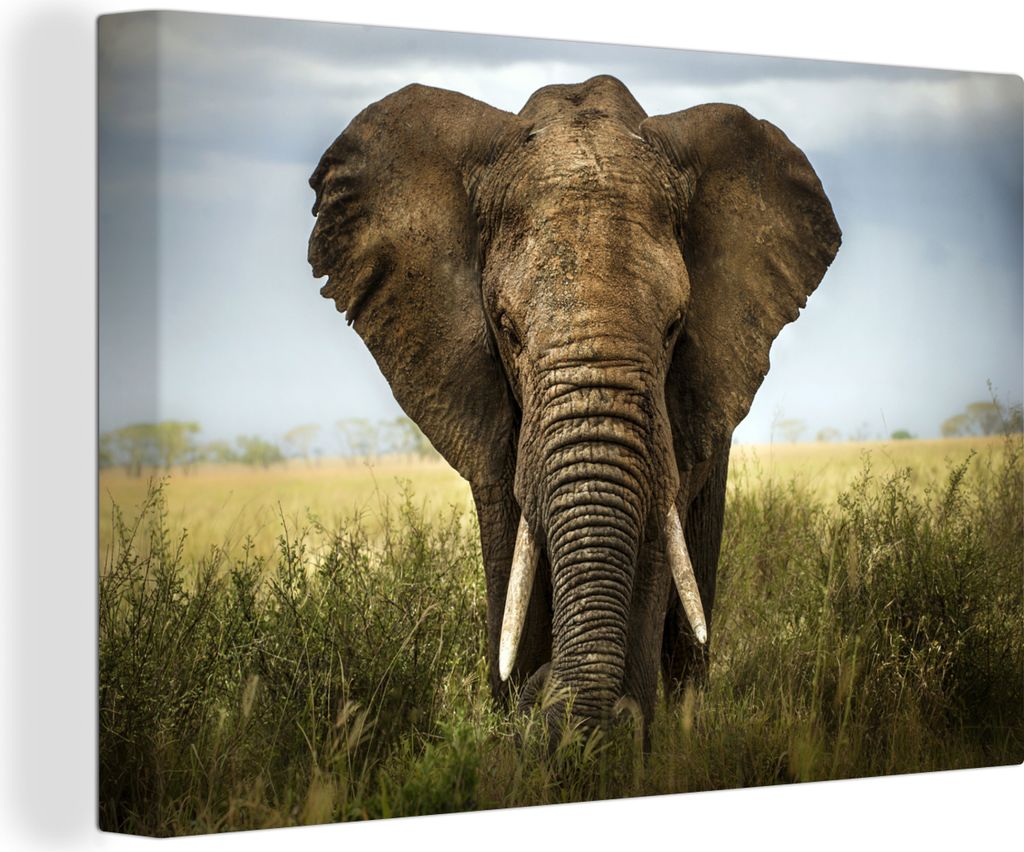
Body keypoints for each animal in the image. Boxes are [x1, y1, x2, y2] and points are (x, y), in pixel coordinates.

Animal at [308, 75, 840, 739]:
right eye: (506, 328)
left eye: (675, 326)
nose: (542, 692)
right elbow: (511, 545)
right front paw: (522, 719)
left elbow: (651, 545)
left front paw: (614, 736)